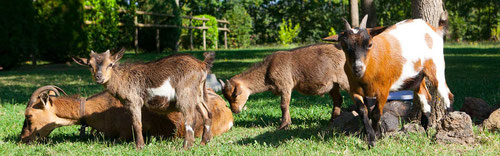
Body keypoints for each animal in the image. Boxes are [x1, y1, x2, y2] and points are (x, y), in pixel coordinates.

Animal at [73, 49, 215, 149]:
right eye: (89, 65)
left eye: (110, 64)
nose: (99, 77)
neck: (122, 78)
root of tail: (202, 65)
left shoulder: (134, 100)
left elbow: (137, 124)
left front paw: (139, 146)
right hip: (198, 94)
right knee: (207, 113)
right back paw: (204, 142)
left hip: (185, 93)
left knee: (190, 118)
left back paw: (185, 147)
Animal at [221, 43, 350, 129]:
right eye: (226, 97)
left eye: (235, 94)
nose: (235, 110)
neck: (267, 70)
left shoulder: (285, 85)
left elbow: (283, 105)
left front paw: (284, 125)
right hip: (333, 85)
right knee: (338, 99)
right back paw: (333, 120)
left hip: (345, 80)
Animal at [320, 14, 454, 147]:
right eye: (344, 46)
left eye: (369, 44)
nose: (357, 68)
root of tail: (434, 29)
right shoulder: (355, 91)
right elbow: (364, 112)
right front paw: (370, 137)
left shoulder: (383, 91)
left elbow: (376, 113)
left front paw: (376, 137)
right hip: (417, 79)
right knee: (426, 98)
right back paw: (426, 132)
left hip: (436, 68)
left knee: (447, 95)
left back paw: (448, 125)